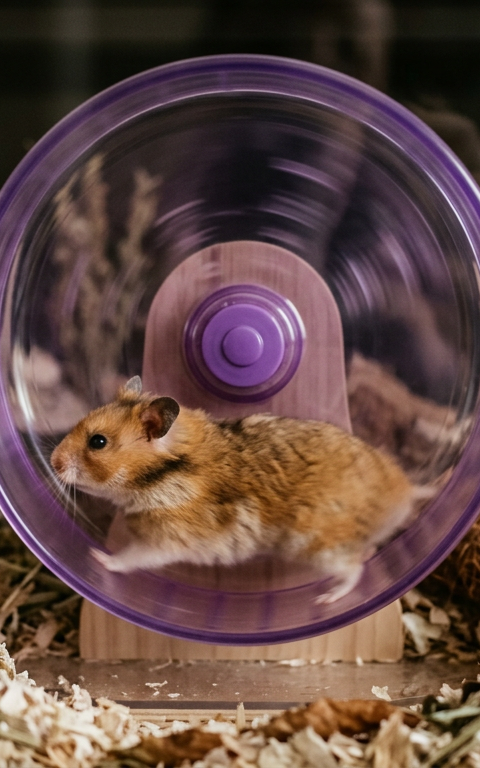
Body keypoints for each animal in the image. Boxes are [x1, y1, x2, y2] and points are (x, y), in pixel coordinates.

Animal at [50, 376, 429, 603]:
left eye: (98, 442)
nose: (52, 462)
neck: (163, 473)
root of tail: (405, 492)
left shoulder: (168, 540)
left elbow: (130, 557)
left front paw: (97, 557)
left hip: (323, 548)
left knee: (356, 569)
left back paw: (326, 599)